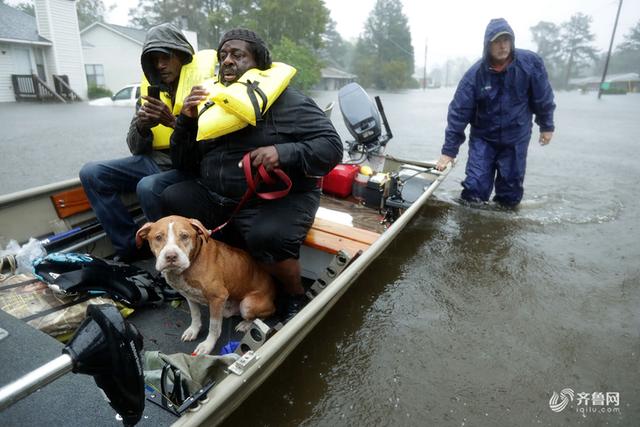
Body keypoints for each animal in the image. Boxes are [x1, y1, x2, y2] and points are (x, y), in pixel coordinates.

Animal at [135, 216, 276, 356]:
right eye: (158, 237)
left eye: (184, 236)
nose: (171, 256)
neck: (191, 264)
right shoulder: (189, 296)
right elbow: (195, 315)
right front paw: (193, 331)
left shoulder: (218, 297)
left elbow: (213, 327)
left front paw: (207, 345)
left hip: (247, 304)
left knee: (264, 315)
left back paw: (246, 324)